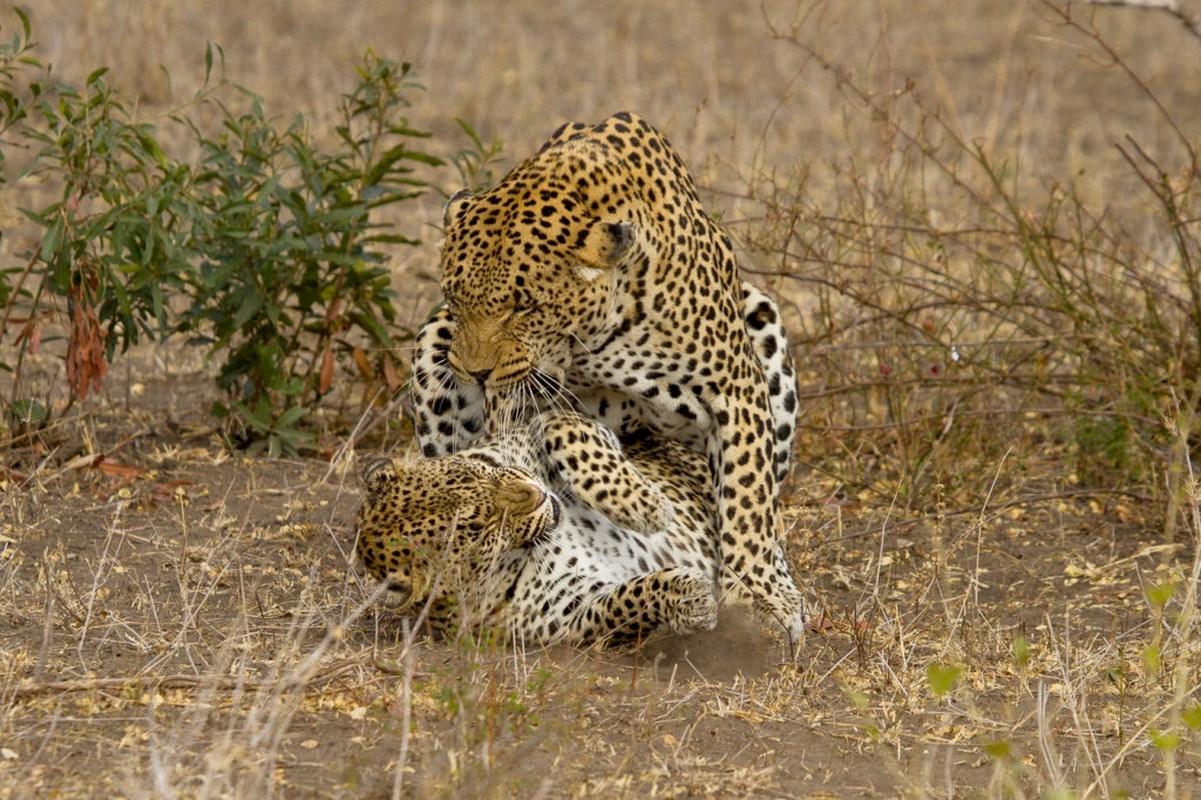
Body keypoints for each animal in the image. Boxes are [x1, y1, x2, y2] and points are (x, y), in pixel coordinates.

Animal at [350, 408, 720, 643]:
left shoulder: (537, 430)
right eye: (480, 530)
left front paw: (646, 506)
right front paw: (692, 599)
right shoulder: (574, 612)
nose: (537, 494)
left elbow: (564, 430)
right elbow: (628, 600)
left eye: (475, 474)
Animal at [410, 110, 807, 643]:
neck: (597, 336)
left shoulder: (734, 385)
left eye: (523, 307)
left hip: (763, 320)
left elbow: (747, 499)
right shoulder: (517, 402)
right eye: (454, 297)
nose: (476, 374)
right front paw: (637, 504)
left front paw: (760, 599)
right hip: (433, 348)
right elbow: (559, 428)